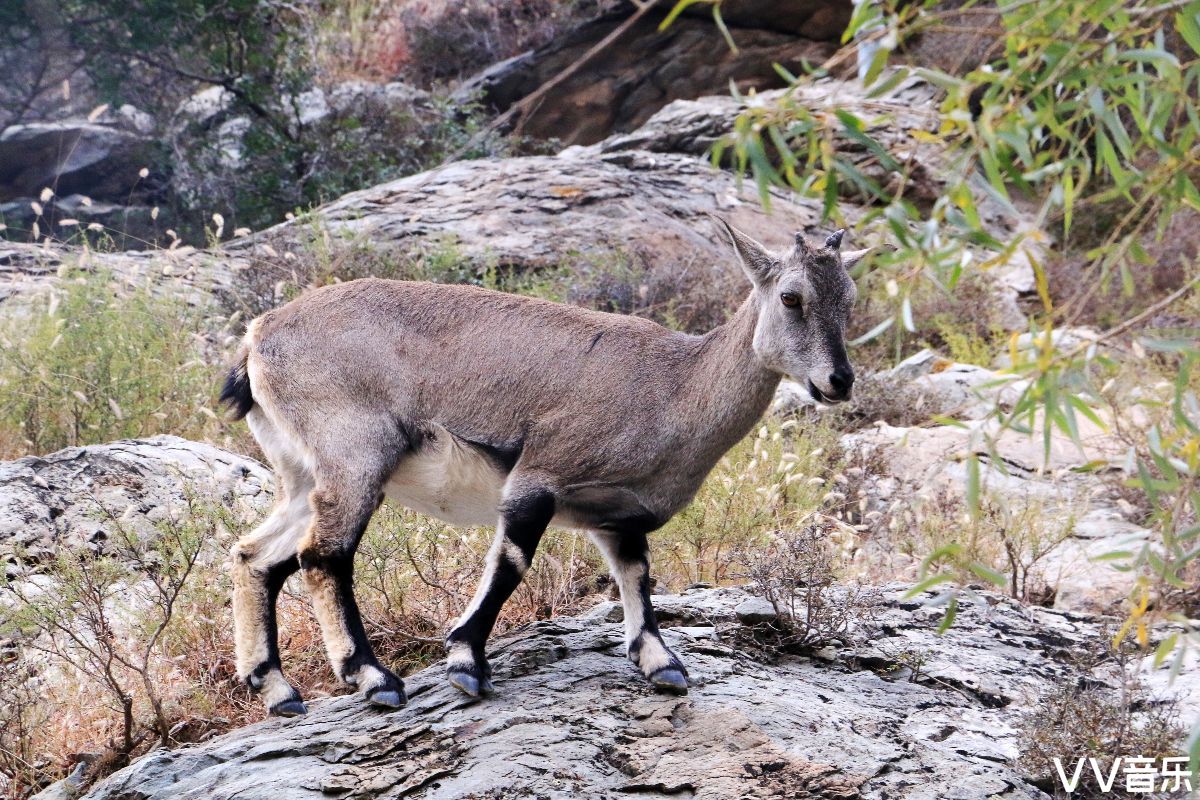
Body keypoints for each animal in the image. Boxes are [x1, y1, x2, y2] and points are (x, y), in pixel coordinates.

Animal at [220, 220, 868, 719]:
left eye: (848, 297)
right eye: (791, 297)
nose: (839, 380)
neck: (674, 387)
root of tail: (258, 338)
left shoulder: (617, 513)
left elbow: (637, 576)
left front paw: (661, 663)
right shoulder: (541, 475)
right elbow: (512, 562)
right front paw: (466, 662)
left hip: (304, 473)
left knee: (257, 556)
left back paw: (278, 690)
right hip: (355, 455)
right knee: (322, 555)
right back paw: (373, 677)